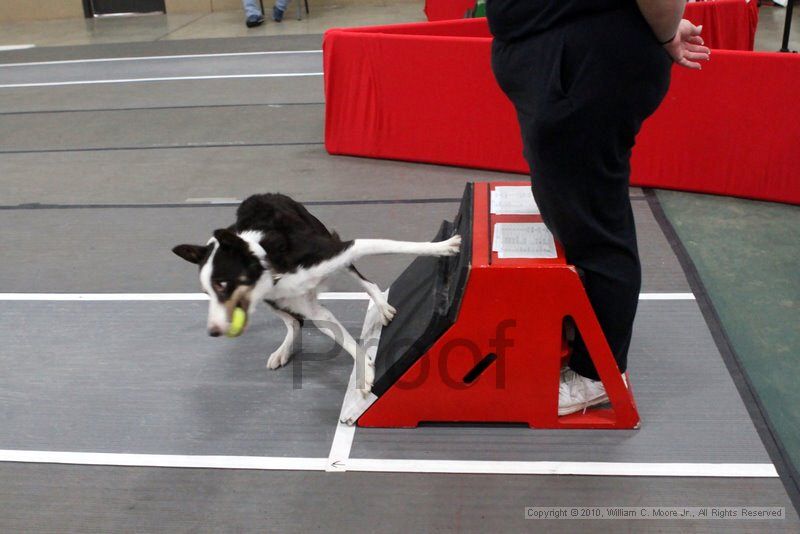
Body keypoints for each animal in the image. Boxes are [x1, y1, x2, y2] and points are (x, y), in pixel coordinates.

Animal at [173, 195, 462, 396]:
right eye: (206, 291)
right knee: (294, 322)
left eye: (222, 284)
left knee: (366, 281)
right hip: (272, 301)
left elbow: (396, 246)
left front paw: (444, 246)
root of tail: (264, 194)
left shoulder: (340, 250)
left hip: (329, 242)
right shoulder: (310, 308)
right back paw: (284, 349)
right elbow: (342, 339)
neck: (271, 265)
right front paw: (364, 374)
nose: (212, 332)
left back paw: (381, 305)